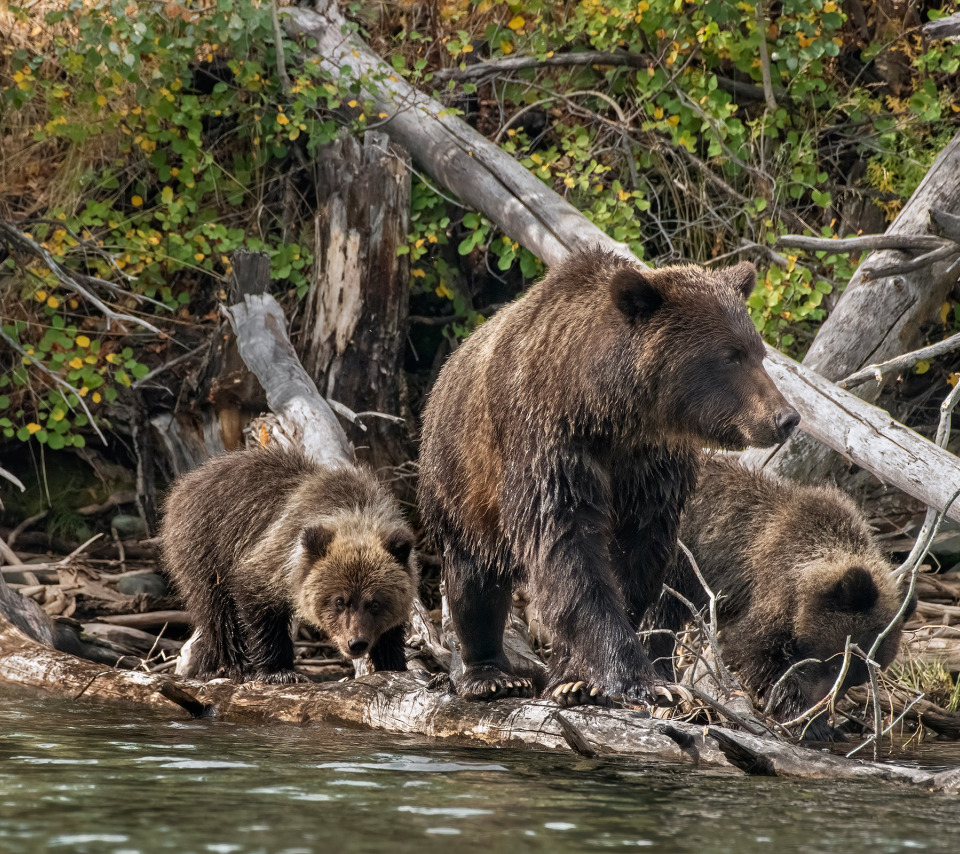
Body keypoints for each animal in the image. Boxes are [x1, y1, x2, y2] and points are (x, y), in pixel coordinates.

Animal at [161, 444, 416, 684]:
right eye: (339, 601)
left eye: (375, 603)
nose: (356, 643)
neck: (355, 511)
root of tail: (188, 479)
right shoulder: (276, 550)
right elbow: (257, 600)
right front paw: (280, 672)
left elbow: (391, 632)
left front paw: (393, 663)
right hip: (206, 546)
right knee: (216, 611)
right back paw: (231, 664)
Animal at [420, 247, 804, 708]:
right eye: (730, 356)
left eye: (758, 352)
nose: (786, 417)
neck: (611, 414)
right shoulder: (550, 445)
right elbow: (569, 552)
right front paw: (641, 680)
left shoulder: (652, 468)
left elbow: (637, 557)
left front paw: (579, 677)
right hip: (458, 480)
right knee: (473, 578)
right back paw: (491, 675)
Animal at [644, 458, 916, 740]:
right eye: (834, 665)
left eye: (855, 680)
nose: (821, 711)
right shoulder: (771, 587)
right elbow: (760, 655)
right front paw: (808, 723)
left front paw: (825, 727)